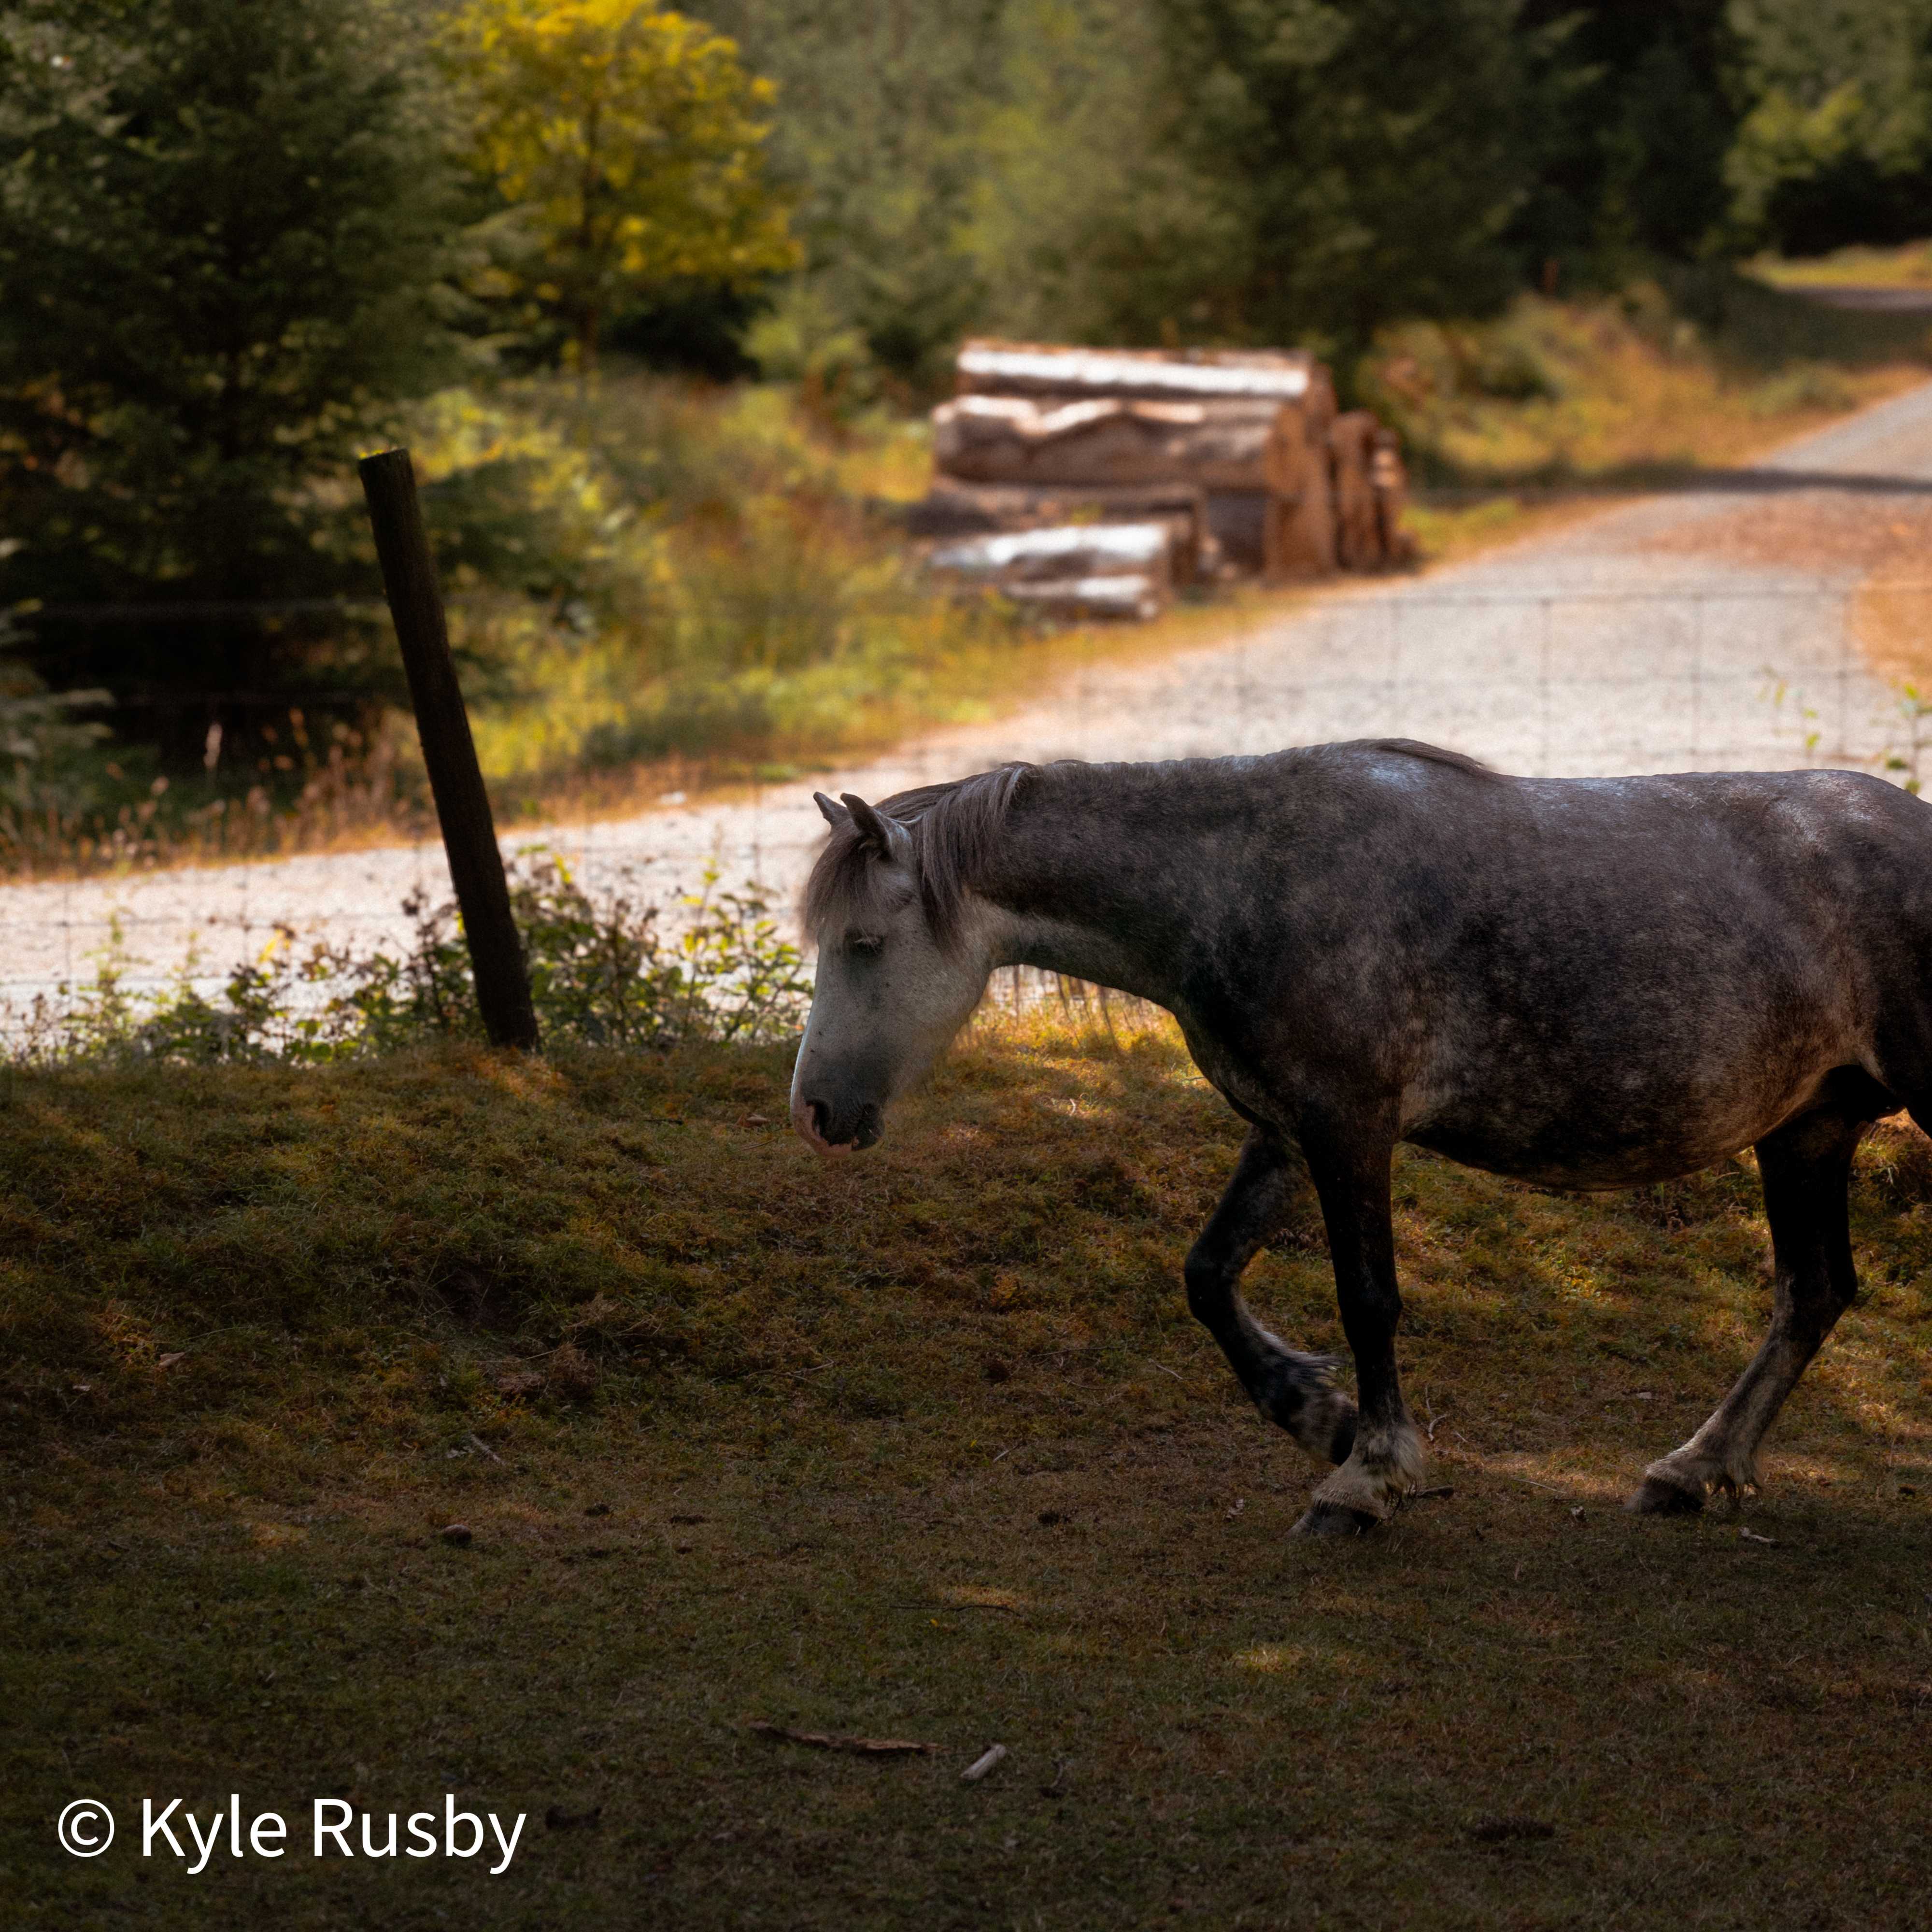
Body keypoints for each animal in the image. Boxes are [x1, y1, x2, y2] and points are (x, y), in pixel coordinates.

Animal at [789, 740, 1932, 1534]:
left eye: (865, 942)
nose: (814, 1113)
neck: (1249, 881)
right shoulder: (1286, 1130)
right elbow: (1206, 1273)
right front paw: (1313, 1411)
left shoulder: (1351, 1128)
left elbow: (1368, 1299)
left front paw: (1366, 1474)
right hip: (1806, 1130)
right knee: (1813, 1293)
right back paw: (1691, 1470)